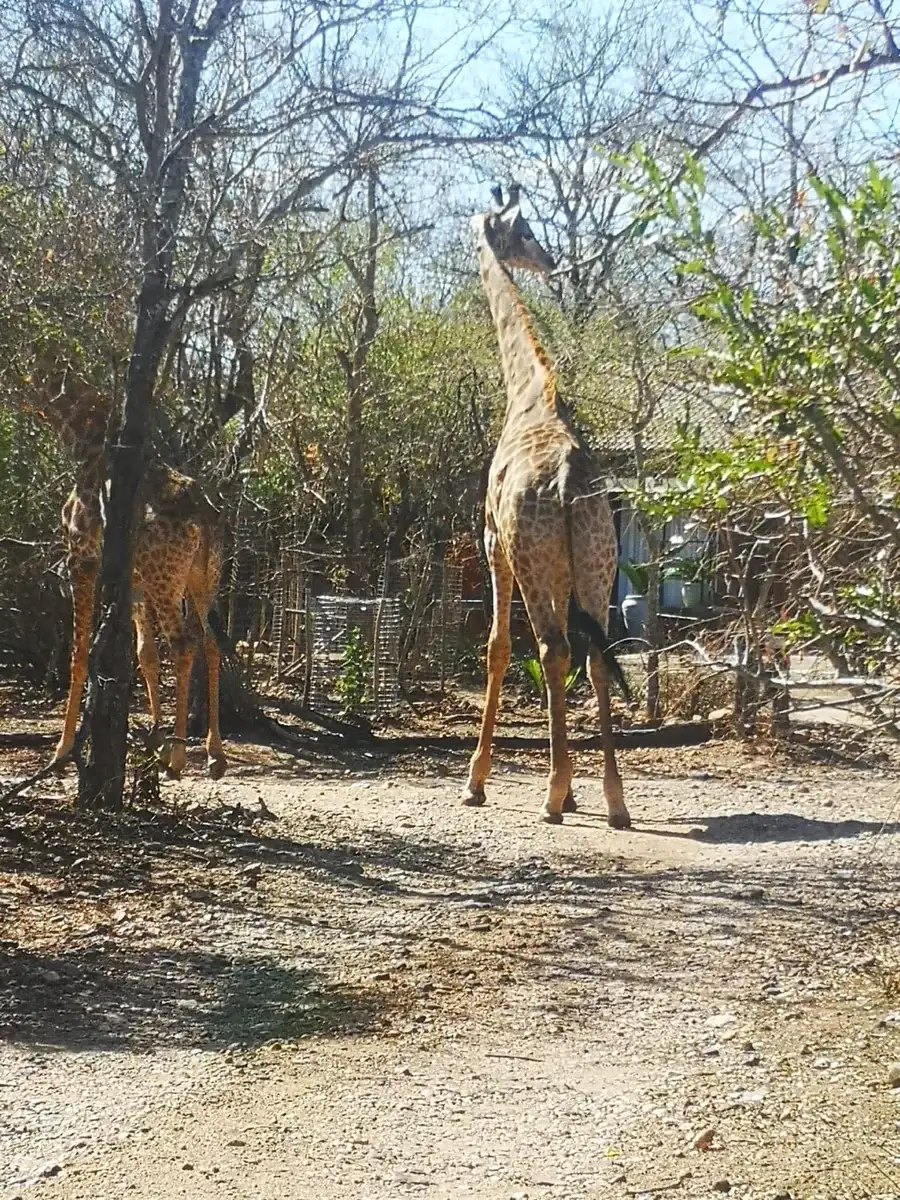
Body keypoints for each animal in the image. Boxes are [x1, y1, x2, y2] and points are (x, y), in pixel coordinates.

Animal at [27, 355, 228, 781]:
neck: (81, 441)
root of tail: (205, 516)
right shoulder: (133, 582)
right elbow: (144, 653)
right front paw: (154, 737)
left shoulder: (82, 558)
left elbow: (80, 652)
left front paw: (61, 750)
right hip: (200, 577)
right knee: (210, 642)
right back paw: (213, 753)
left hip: (165, 578)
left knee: (183, 642)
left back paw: (179, 757)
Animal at [462, 184, 631, 827]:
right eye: (529, 231)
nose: (549, 260)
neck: (528, 393)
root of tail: (565, 481)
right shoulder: (559, 567)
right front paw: (582, 790)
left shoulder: (493, 544)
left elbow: (496, 647)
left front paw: (475, 781)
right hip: (597, 560)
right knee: (596, 654)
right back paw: (613, 800)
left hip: (533, 560)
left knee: (552, 649)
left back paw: (552, 796)